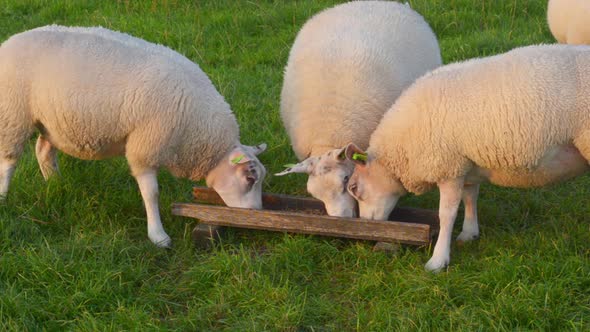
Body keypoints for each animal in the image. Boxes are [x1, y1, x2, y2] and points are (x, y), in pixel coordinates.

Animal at [0, 26, 268, 248]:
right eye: (249, 178)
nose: (256, 214)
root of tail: (9, 42)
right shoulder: (145, 148)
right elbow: (152, 194)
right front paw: (158, 236)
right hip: (13, 115)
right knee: (9, 162)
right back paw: (3, 198)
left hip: (51, 120)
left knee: (44, 151)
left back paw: (55, 184)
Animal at [344, 43, 590, 272]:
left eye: (354, 187)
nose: (365, 230)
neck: (403, 145)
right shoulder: (467, 165)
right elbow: (470, 198)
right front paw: (470, 232)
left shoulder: (448, 168)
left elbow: (446, 215)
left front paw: (438, 260)